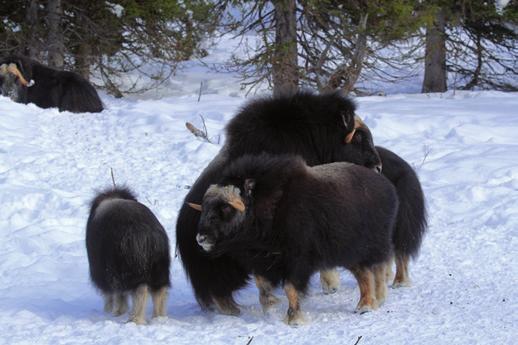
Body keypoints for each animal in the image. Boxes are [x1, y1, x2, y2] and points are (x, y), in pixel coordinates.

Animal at [86, 185, 172, 322]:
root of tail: (148, 235)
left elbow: (113, 294)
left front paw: (112, 311)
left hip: (130, 272)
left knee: (140, 291)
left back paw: (135, 319)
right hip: (160, 271)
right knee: (159, 292)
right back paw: (158, 317)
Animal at [189, 154, 400, 326]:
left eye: (224, 208)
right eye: (205, 207)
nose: (200, 238)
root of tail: (388, 188)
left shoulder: (296, 261)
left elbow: (290, 288)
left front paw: (295, 319)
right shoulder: (262, 262)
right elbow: (262, 288)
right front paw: (271, 310)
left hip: (370, 247)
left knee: (377, 270)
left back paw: (372, 302)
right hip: (347, 253)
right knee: (363, 274)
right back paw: (367, 303)